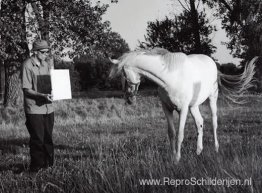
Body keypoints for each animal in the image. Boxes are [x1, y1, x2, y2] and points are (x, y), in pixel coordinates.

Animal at [108, 48, 256, 163]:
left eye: (123, 74)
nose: (129, 99)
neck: (170, 79)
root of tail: (212, 62)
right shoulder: (166, 108)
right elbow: (171, 133)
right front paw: (173, 157)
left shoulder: (182, 109)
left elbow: (180, 134)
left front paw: (178, 158)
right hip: (193, 106)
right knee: (199, 122)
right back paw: (198, 151)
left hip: (212, 98)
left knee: (214, 123)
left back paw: (216, 148)